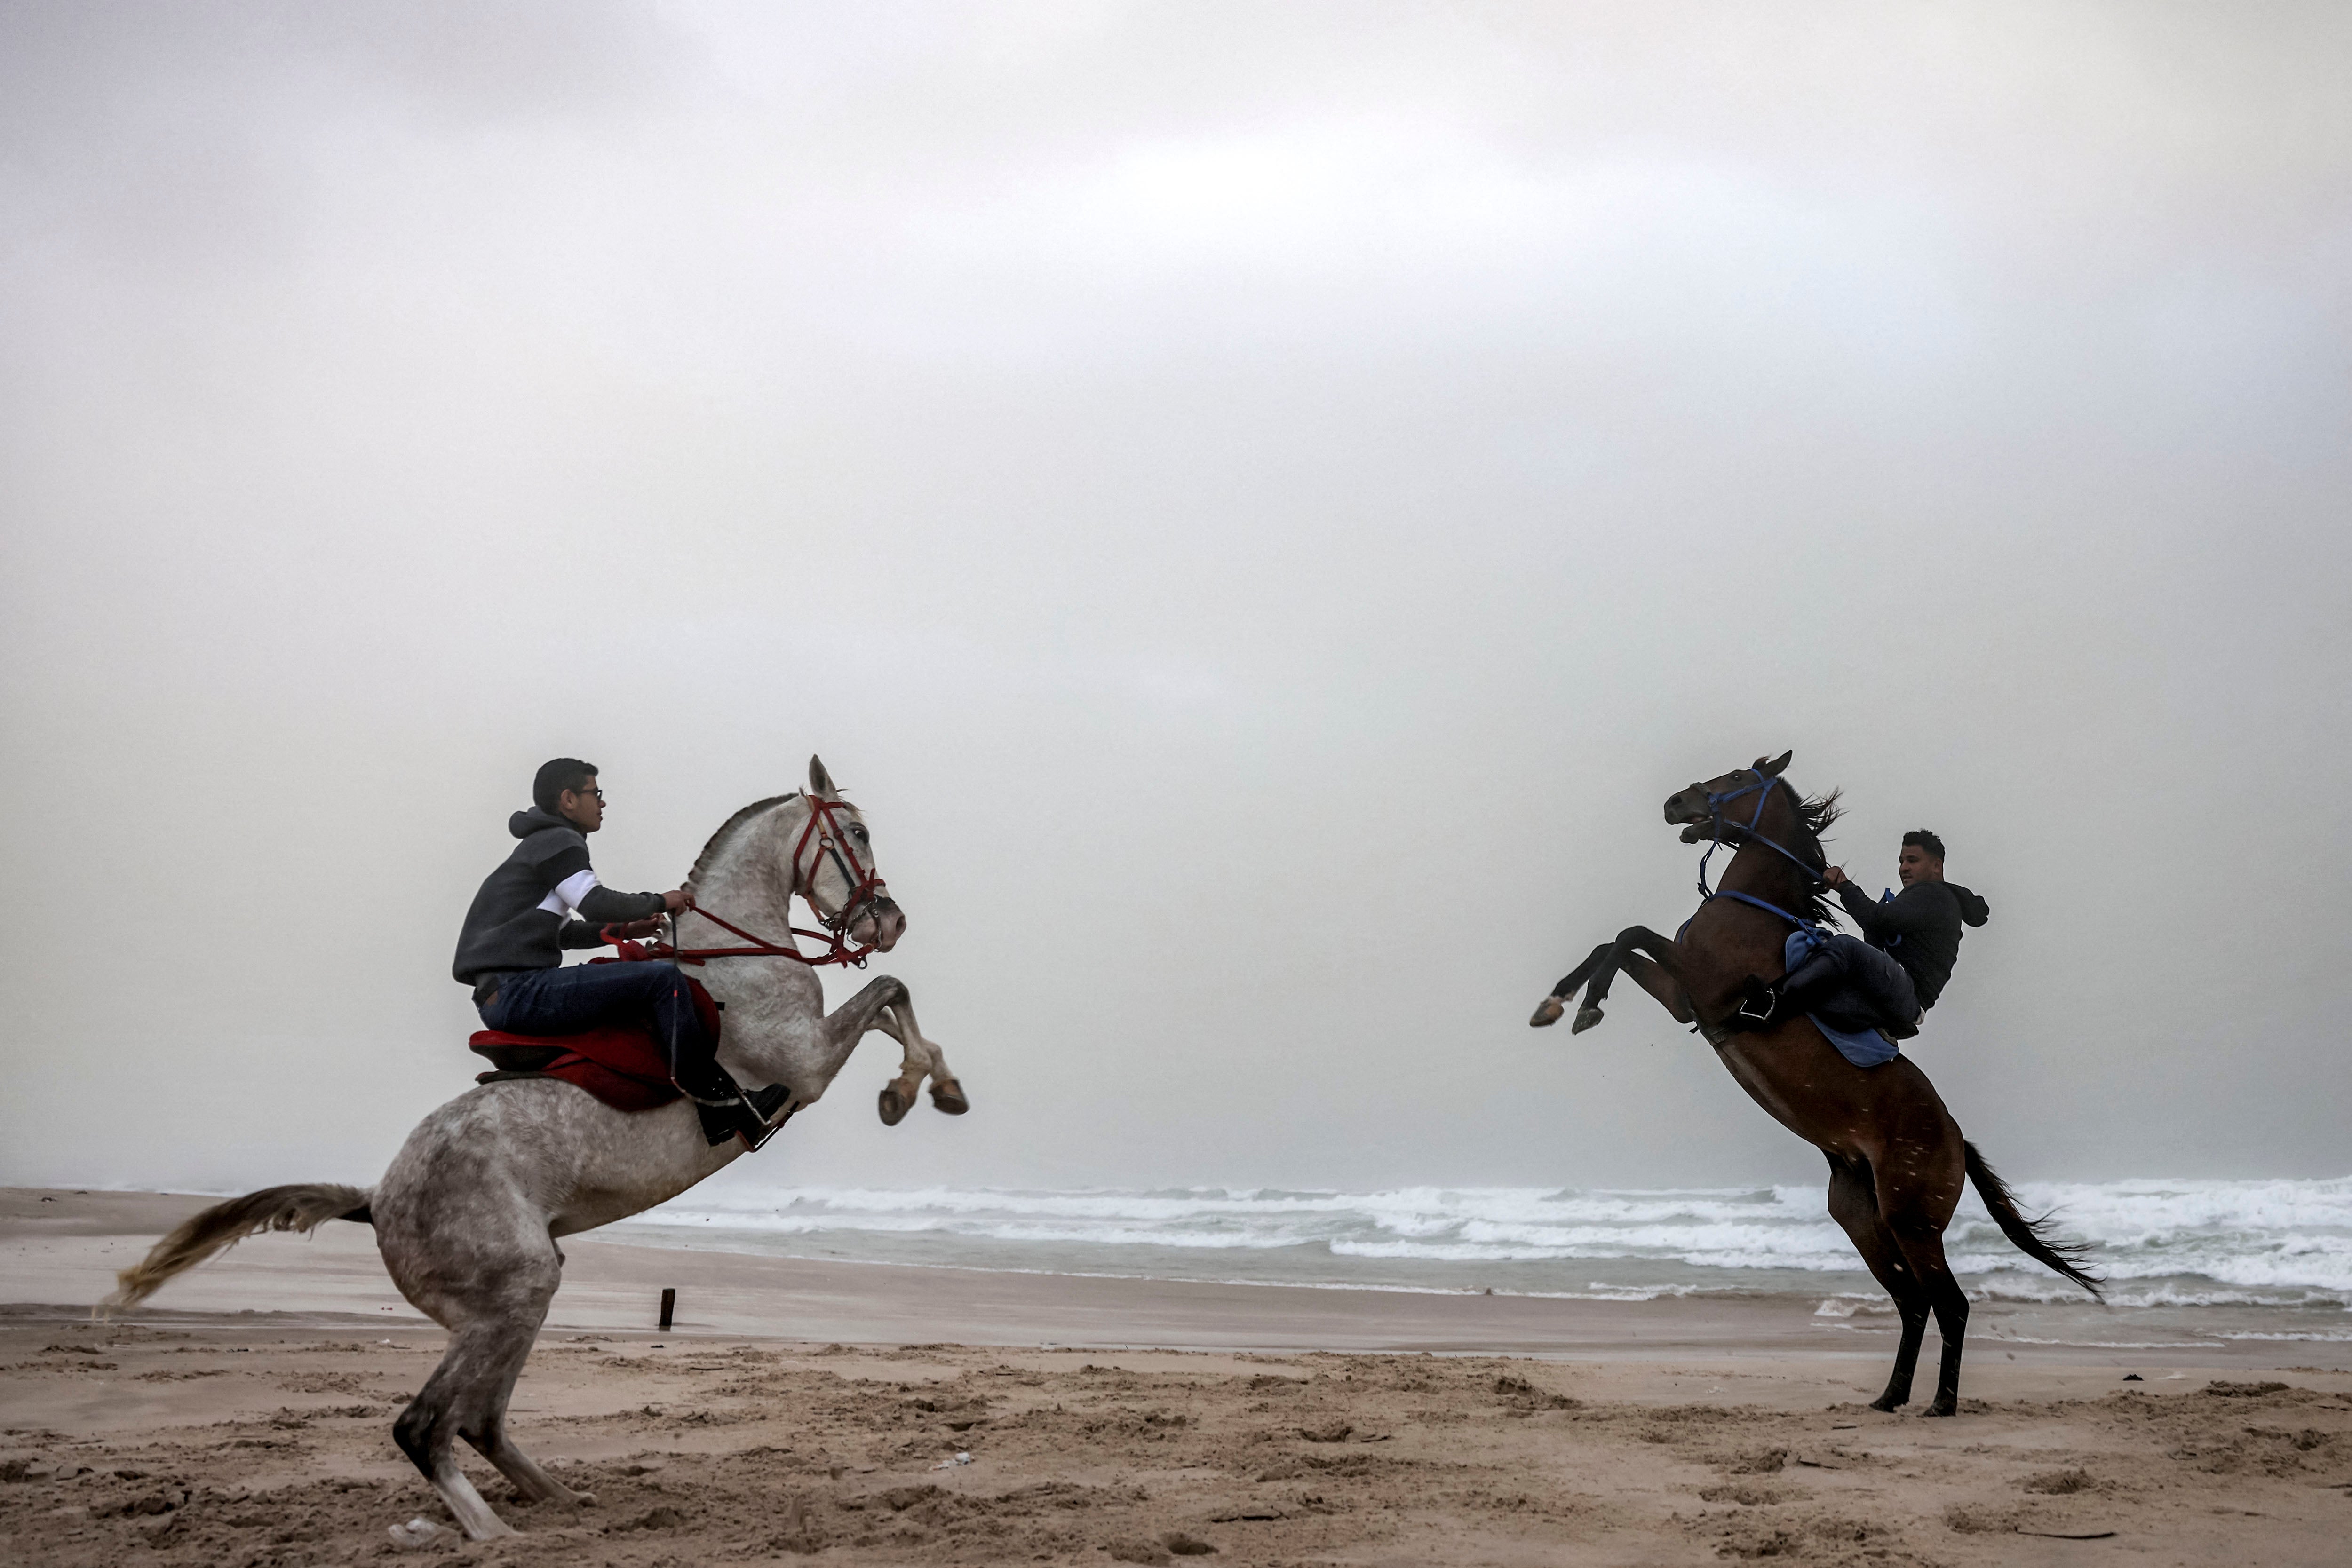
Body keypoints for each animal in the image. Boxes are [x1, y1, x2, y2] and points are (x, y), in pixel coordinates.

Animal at [101, 761, 964, 1542]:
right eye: (856, 834)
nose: (889, 920)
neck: (735, 956)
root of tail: (376, 1199)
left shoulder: (814, 1056)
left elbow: (892, 1002)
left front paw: (931, 1086)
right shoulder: (807, 1064)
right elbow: (891, 994)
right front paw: (916, 1090)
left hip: (517, 1299)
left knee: (478, 1420)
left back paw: (562, 1500)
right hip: (511, 1293)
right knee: (424, 1425)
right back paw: (493, 1532)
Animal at [1534, 752, 2107, 1420]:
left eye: (1736, 778)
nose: (1675, 803)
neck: (1754, 908)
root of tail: (1955, 1140)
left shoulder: (1698, 984)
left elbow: (1627, 935)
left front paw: (1577, 1007)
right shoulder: (1681, 997)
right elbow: (1616, 942)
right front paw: (1560, 1002)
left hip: (1912, 1222)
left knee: (1949, 1303)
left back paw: (1939, 1402)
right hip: (1863, 1220)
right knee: (1913, 1302)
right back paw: (1889, 1396)